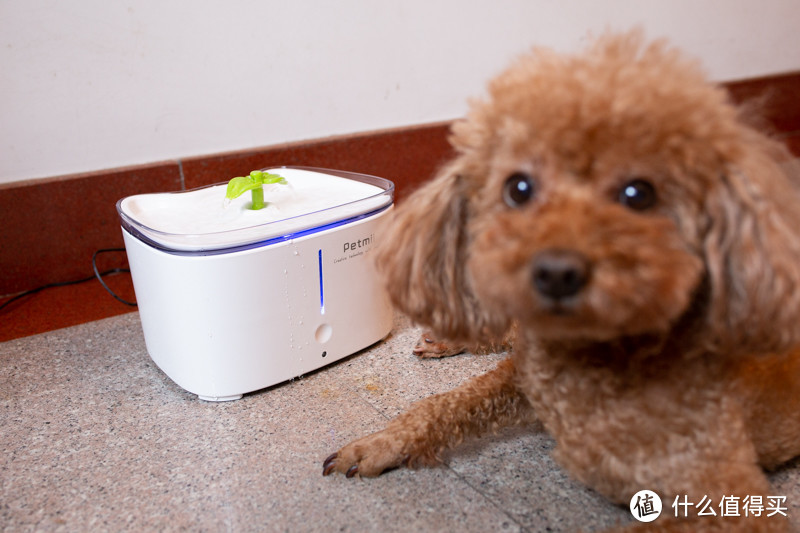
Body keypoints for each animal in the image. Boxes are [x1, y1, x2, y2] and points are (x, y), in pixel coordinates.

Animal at [322, 31, 800, 528]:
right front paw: (381, 443)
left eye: (638, 194)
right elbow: (441, 404)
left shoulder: (730, 499)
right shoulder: (523, 380)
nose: (556, 272)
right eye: (519, 188)